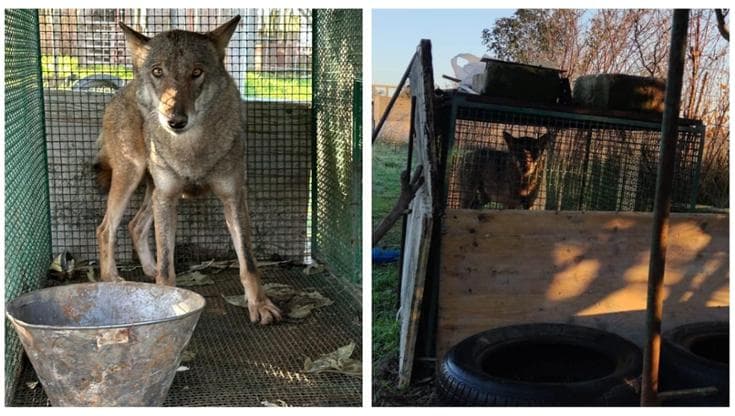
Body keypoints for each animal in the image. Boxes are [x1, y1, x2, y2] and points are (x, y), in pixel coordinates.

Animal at [94, 16, 281, 324]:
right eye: (158, 72)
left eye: (196, 72)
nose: (175, 120)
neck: (192, 151)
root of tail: (123, 87)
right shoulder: (168, 198)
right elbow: (167, 268)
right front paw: (166, 301)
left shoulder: (233, 197)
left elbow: (249, 263)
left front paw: (260, 305)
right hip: (132, 177)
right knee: (105, 228)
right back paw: (112, 280)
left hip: (152, 192)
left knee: (134, 225)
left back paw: (148, 270)